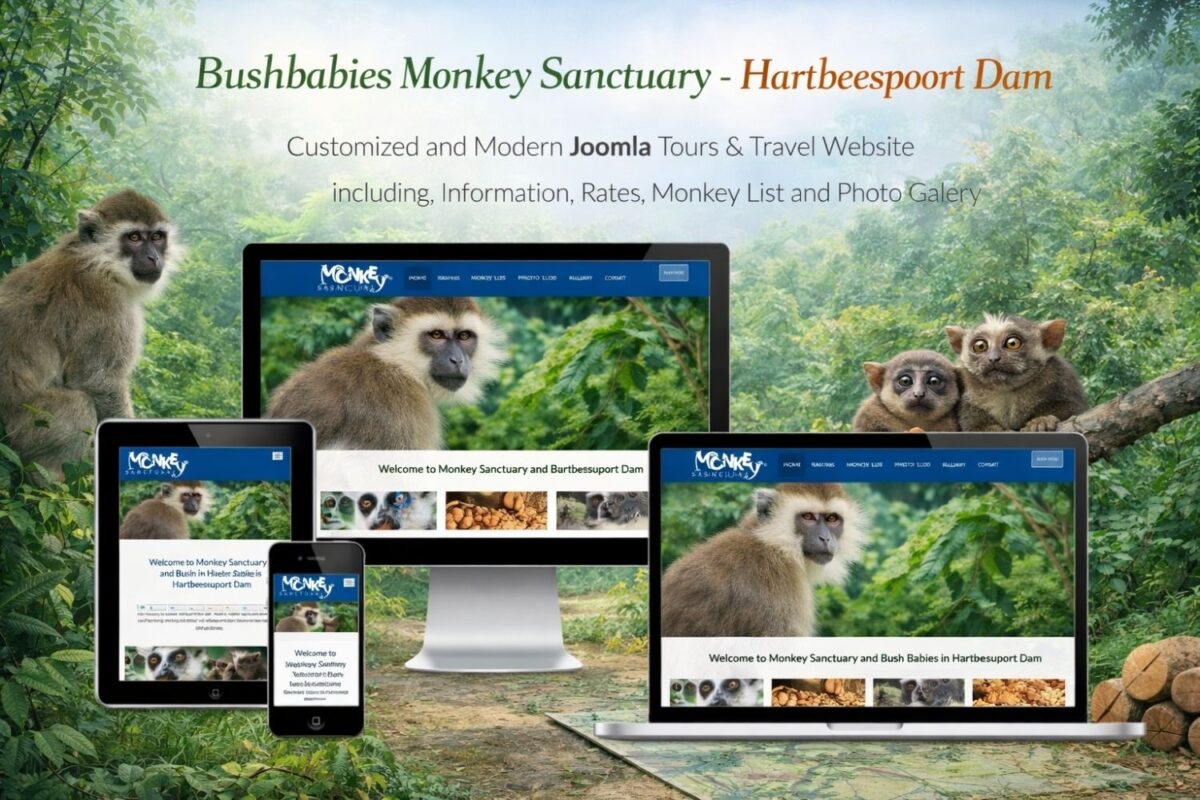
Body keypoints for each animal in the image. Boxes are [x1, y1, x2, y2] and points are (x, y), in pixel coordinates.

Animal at [0, 190, 178, 473]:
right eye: (134, 237)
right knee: (78, 405)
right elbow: (97, 381)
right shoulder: (107, 305)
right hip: (21, 428)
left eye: (157, 237)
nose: (154, 257)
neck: (101, 263)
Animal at [945, 315, 1088, 432]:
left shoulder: (1059, 376)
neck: (1007, 390)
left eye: (1012, 343)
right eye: (980, 346)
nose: (993, 358)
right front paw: (987, 429)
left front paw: (1042, 420)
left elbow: (1072, 409)